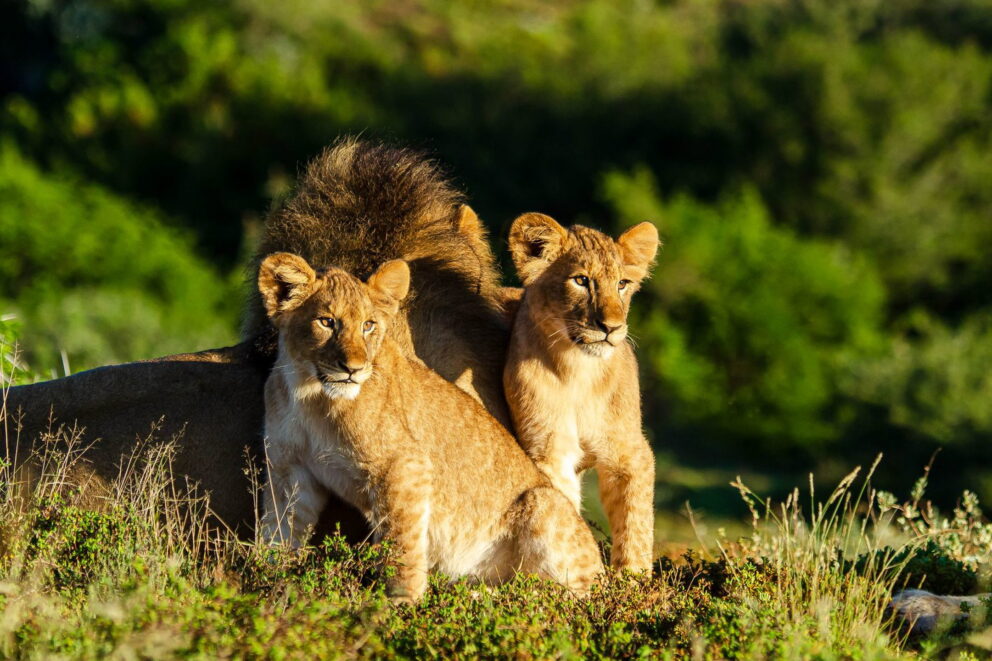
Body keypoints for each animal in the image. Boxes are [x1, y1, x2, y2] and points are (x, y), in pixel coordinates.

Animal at [257, 252, 604, 601]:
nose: (353, 369)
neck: (309, 394)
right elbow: (278, 531)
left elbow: (402, 544)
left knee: (562, 598)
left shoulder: (405, 465)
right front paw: (263, 582)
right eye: (327, 322)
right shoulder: (291, 473)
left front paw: (401, 603)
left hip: (542, 502)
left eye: (369, 326)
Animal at [502, 212, 660, 572]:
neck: (578, 373)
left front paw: (633, 580)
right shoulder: (549, 452)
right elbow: (567, 514)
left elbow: (635, 523)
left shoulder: (630, 452)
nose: (611, 327)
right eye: (581, 280)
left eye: (622, 284)